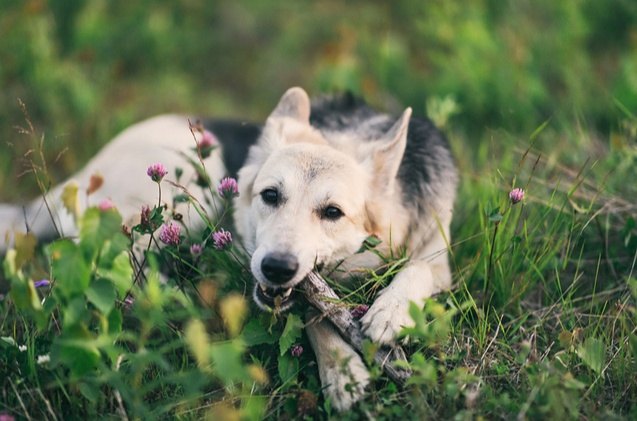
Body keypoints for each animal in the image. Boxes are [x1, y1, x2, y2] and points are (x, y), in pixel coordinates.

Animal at [0, 86, 458, 410]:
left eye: (332, 212)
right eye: (271, 195)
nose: (276, 268)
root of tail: (78, 175)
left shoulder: (438, 258)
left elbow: (418, 267)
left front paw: (391, 310)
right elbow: (315, 315)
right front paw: (341, 370)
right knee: (114, 256)